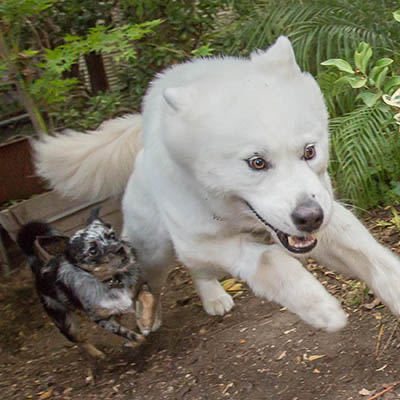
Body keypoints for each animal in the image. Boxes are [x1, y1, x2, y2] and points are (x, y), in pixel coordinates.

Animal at [17, 209, 155, 360]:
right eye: (92, 251)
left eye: (112, 235)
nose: (120, 248)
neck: (113, 280)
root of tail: (40, 267)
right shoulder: (101, 320)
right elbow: (129, 334)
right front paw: (137, 340)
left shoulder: (139, 288)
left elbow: (149, 298)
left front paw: (146, 321)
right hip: (66, 324)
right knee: (80, 340)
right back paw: (97, 354)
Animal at [35, 36, 400, 332]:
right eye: (257, 162)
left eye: (309, 151)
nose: (310, 218)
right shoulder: (200, 241)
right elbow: (270, 259)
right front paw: (318, 307)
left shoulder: (326, 214)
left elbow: (370, 255)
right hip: (154, 251)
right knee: (151, 282)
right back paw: (149, 316)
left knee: (198, 272)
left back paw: (211, 298)